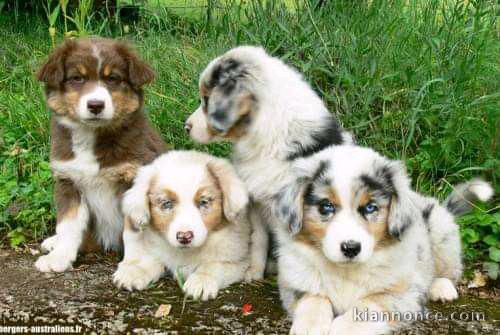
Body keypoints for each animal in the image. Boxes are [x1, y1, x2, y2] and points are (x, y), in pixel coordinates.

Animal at [35, 37, 168, 272]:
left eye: (113, 79)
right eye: (77, 78)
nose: (96, 105)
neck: (91, 136)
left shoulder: (132, 182)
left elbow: (133, 232)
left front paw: (133, 266)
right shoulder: (68, 181)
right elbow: (68, 226)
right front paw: (59, 258)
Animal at [113, 151, 250, 300]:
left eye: (203, 202)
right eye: (167, 203)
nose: (184, 237)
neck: (185, 253)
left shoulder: (239, 261)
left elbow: (214, 265)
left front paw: (201, 281)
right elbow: (148, 257)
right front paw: (135, 271)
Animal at [274, 145, 492, 335]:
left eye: (370, 207)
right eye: (326, 206)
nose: (350, 248)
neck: (346, 271)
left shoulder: (403, 293)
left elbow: (367, 306)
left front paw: (341, 328)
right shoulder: (293, 284)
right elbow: (313, 298)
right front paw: (309, 326)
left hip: (441, 231)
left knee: (448, 272)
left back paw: (441, 288)